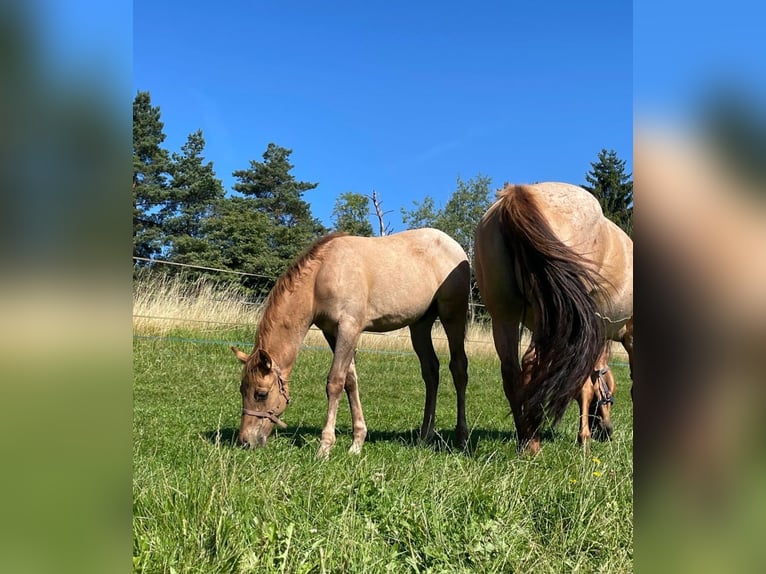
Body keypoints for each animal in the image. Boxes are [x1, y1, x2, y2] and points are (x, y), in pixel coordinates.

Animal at [231, 229, 470, 459]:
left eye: (261, 393)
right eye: (242, 389)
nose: (245, 441)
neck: (321, 276)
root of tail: (455, 246)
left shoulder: (349, 328)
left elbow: (335, 382)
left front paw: (325, 447)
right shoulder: (332, 332)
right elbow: (350, 381)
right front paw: (357, 442)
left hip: (453, 317)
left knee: (459, 368)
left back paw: (461, 438)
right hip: (420, 325)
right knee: (431, 371)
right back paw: (425, 435)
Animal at [474, 182, 633, 454]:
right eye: (611, 391)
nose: (607, 431)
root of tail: (518, 194)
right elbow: (588, 386)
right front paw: (584, 438)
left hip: (505, 315)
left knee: (511, 371)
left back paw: (524, 437)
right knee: (530, 364)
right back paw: (532, 442)